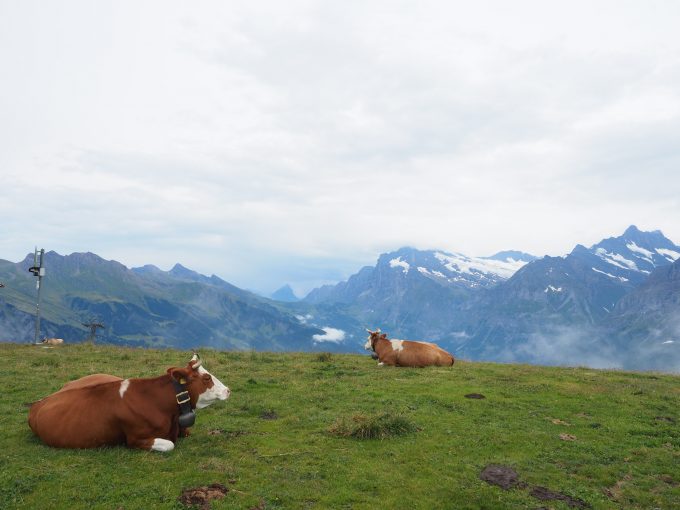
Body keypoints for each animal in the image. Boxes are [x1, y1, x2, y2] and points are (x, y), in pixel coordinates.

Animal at [27, 352, 230, 452]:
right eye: (206, 378)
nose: (228, 390)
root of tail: (37, 403)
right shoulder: (136, 439)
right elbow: (169, 445)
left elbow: (185, 432)